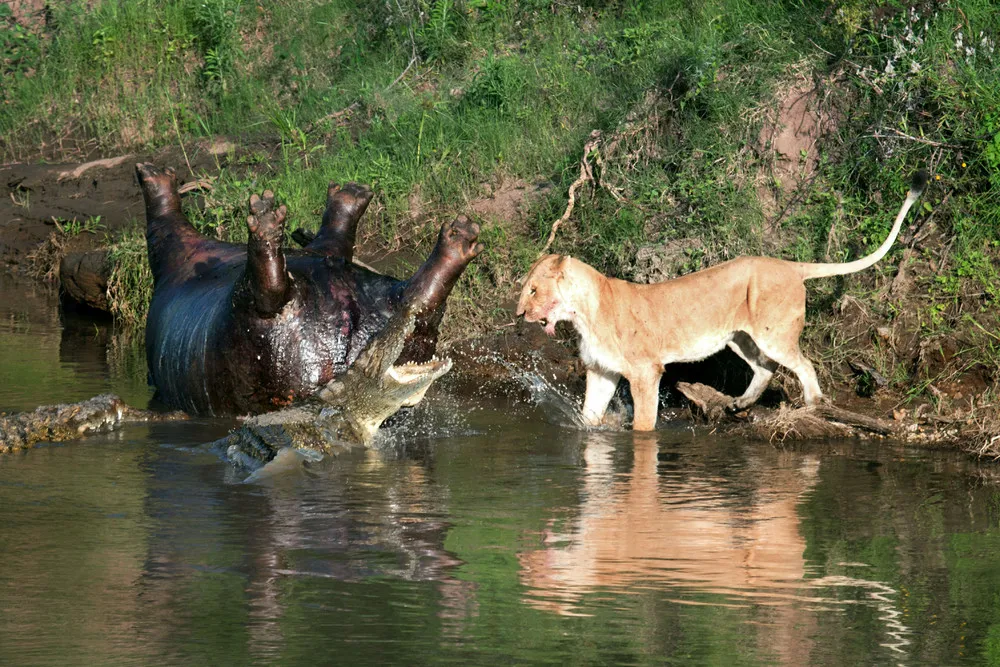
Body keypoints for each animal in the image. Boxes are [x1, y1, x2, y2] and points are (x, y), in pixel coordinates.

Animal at [136, 164, 483, 416]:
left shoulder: (173, 254)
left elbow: (163, 226)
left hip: (244, 308)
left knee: (268, 286)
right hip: (393, 304)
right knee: (420, 299)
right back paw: (457, 239)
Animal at [516, 172, 928, 430]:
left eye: (533, 290)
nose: (519, 313)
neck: (582, 314)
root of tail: (790, 266)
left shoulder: (646, 371)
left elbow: (644, 425)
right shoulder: (602, 370)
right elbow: (591, 414)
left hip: (772, 334)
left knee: (804, 365)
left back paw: (812, 405)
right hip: (739, 337)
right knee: (765, 368)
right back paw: (740, 404)